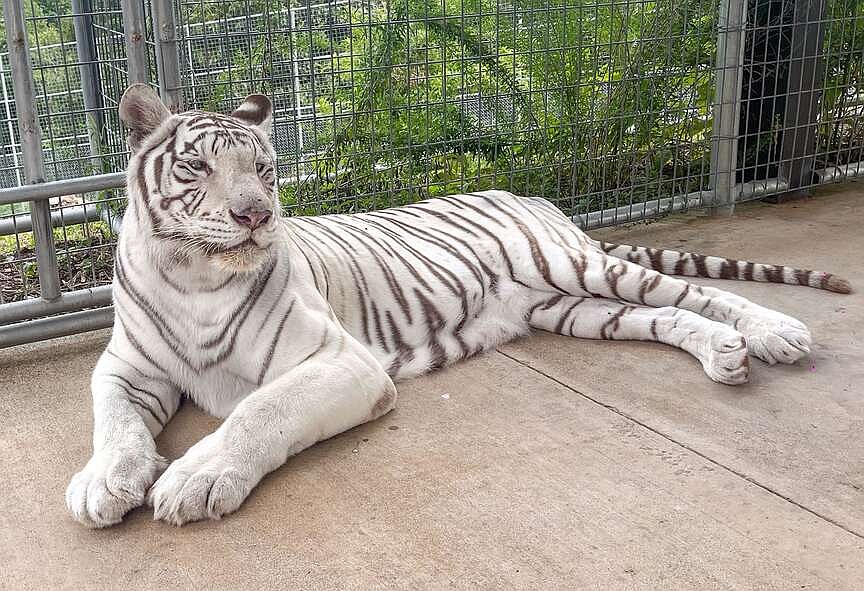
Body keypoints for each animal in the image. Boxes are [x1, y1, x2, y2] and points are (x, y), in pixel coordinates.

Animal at [65, 84, 851, 528]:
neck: (193, 279)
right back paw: (724, 355)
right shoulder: (125, 369)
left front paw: (195, 477)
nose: (256, 215)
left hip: (573, 265)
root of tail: (532, 195)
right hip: (572, 308)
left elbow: (261, 410)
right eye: (197, 166)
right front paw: (105, 480)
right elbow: (112, 421)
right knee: (671, 318)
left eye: (263, 168)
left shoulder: (340, 361)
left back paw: (776, 333)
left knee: (700, 292)